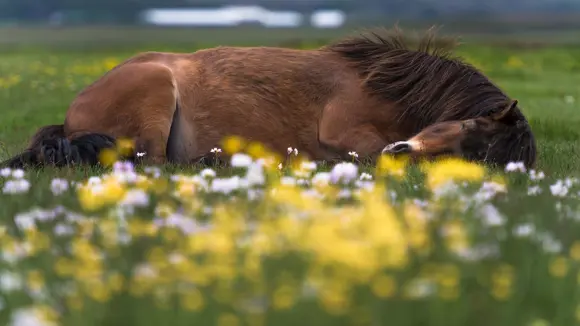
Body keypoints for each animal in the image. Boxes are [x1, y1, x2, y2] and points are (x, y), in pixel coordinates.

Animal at [0, 27, 536, 171]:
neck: (379, 85)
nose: (405, 148)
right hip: (155, 94)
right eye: (468, 125)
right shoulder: (345, 135)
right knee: (153, 164)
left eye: (476, 153)